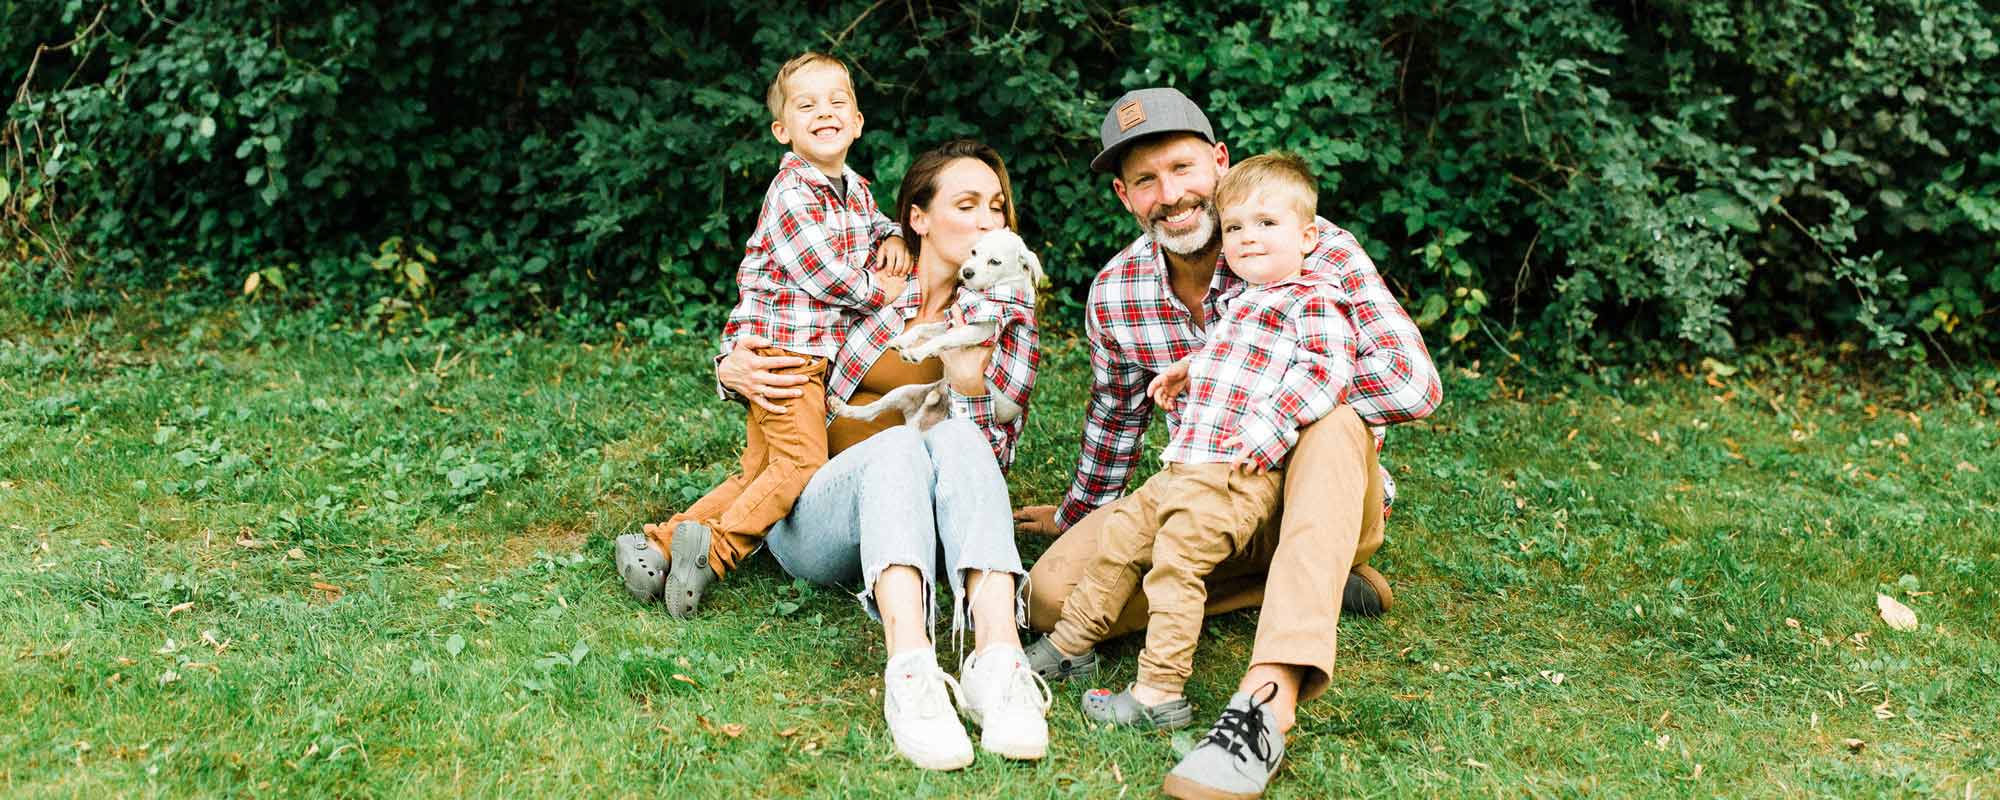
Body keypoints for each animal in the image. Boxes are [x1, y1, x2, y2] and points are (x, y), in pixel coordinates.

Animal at [832, 230, 1048, 432]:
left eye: (995, 262)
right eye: (973, 252)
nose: (966, 272)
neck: (987, 293)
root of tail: (917, 424)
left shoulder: (981, 329)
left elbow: (943, 339)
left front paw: (917, 352)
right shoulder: (950, 321)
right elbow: (923, 328)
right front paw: (902, 341)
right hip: (902, 392)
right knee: (869, 413)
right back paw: (842, 408)